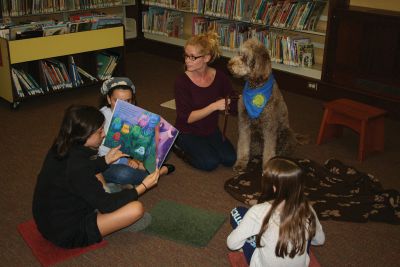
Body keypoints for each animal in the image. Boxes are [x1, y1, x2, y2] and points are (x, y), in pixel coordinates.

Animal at [228, 38, 300, 175]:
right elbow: (243, 145)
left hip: (286, 134)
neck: (256, 87)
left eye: (245, 57)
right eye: (239, 53)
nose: (229, 65)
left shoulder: (270, 126)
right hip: (255, 137)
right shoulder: (244, 123)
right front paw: (240, 163)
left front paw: (267, 167)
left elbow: (269, 150)